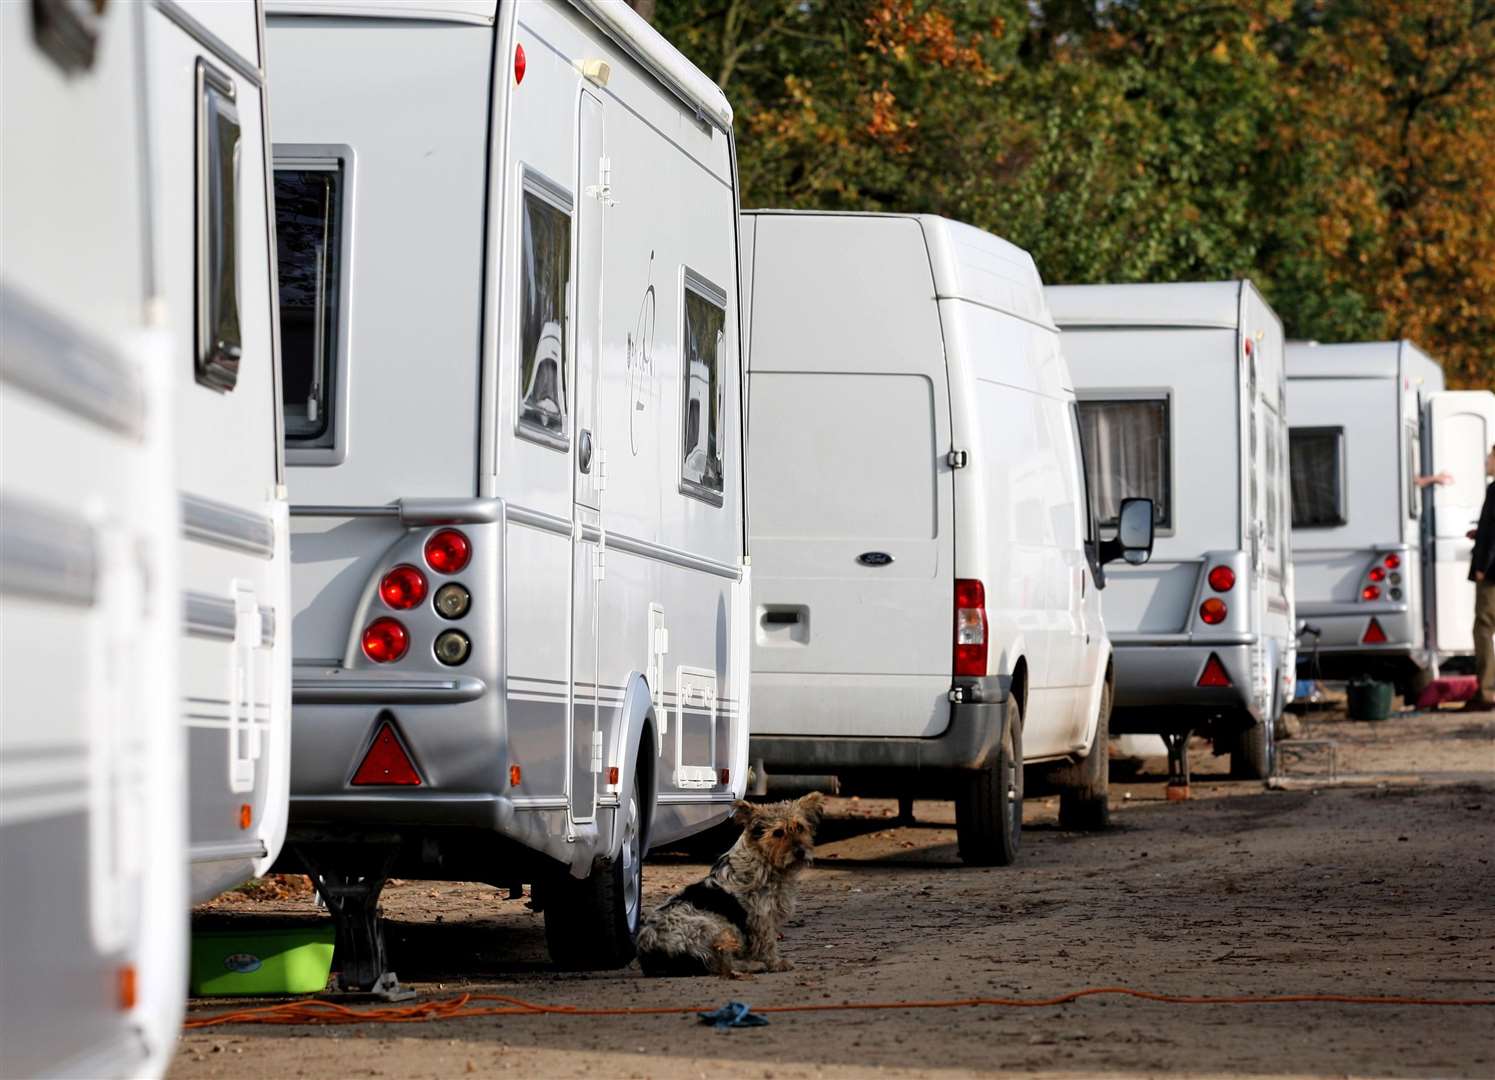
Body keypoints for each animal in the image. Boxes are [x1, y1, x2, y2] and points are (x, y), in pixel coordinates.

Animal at [633, 789, 825, 975]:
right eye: (778, 833)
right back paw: (752, 966)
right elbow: (767, 944)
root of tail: (650, 952)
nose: (800, 851)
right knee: (721, 965)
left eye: (800, 827)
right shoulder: (760, 918)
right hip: (714, 928)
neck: (762, 859)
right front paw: (775, 964)